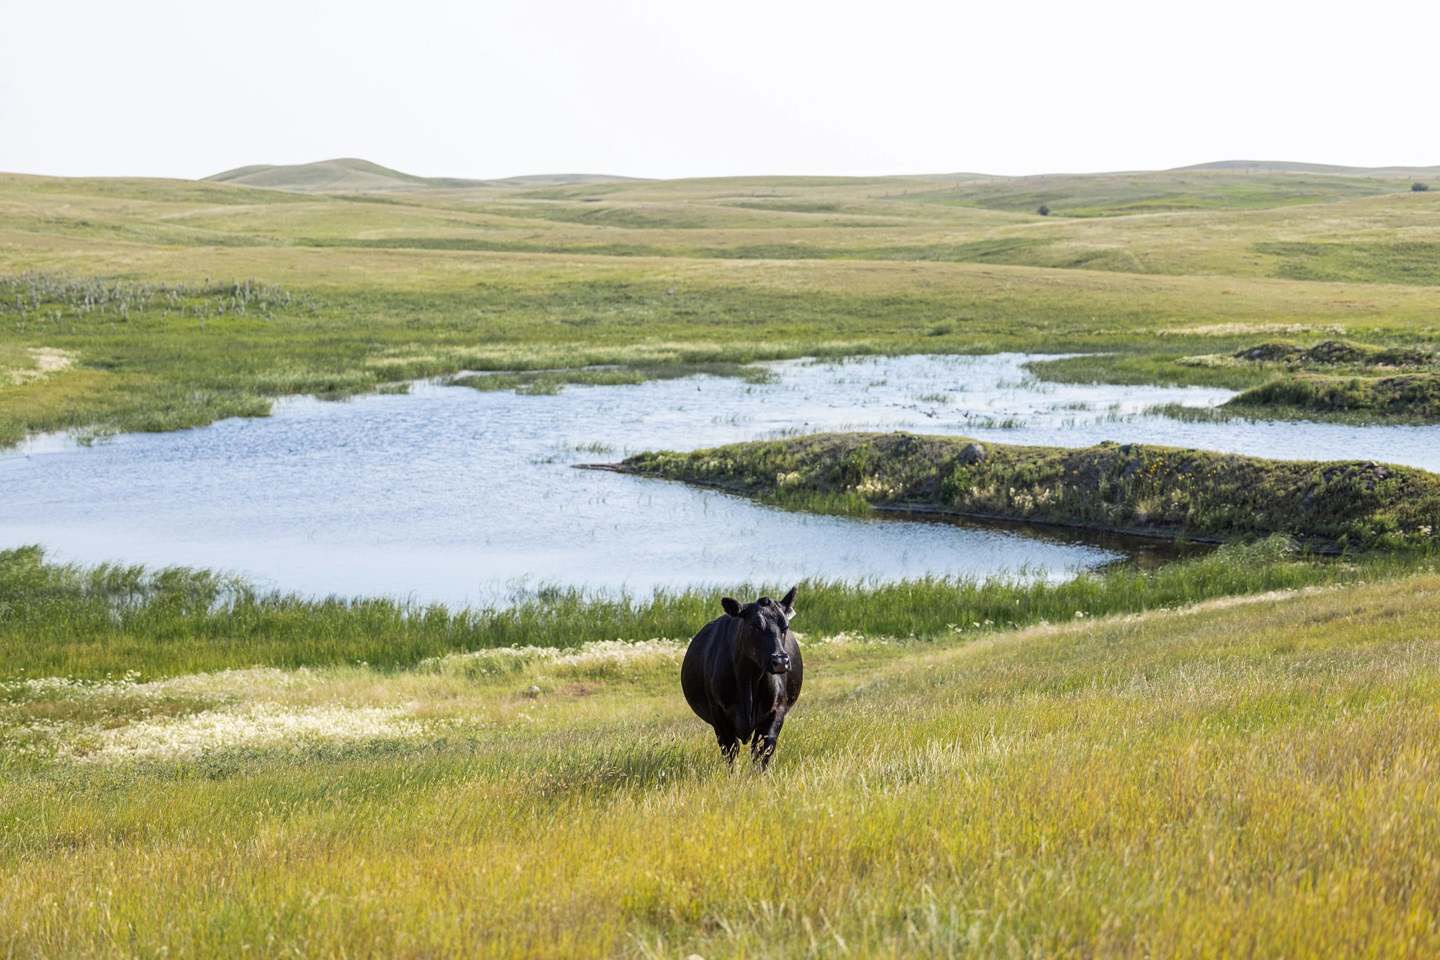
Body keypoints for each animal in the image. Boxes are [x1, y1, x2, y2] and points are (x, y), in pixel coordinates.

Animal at [679, 587, 806, 765]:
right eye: (755, 626)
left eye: (785, 627)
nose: (780, 661)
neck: (749, 682)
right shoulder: (718, 712)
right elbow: (730, 749)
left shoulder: (777, 709)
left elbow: (763, 748)